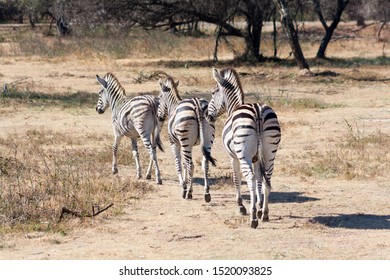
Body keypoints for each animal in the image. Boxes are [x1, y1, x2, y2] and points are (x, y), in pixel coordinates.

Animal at [206, 66, 282, 229]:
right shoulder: (256, 158)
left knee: (250, 178)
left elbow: (237, 178)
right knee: (267, 179)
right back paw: (265, 214)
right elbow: (260, 179)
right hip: (270, 152)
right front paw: (259, 206)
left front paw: (241, 206)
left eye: (213, 92)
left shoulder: (232, 156)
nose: (208, 117)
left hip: (243, 153)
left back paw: (253, 218)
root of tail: (258, 110)